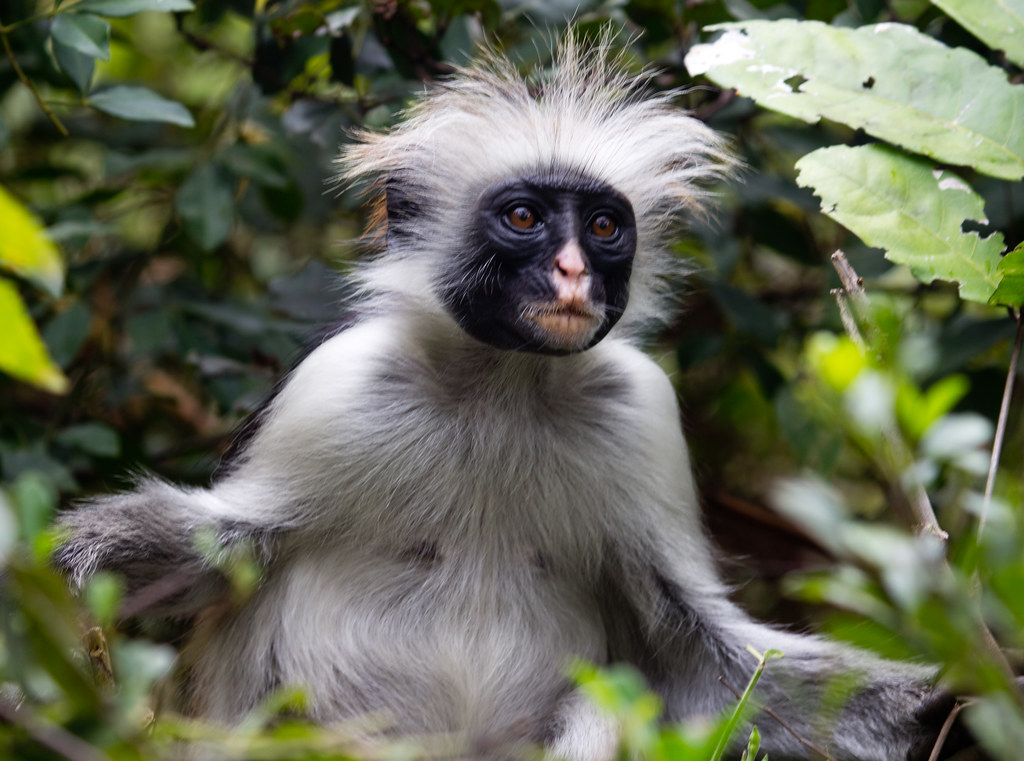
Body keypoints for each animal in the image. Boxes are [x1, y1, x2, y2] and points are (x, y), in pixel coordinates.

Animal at [55, 32, 951, 761]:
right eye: (523, 217)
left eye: (603, 228)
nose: (574, 273)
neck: (504, 387)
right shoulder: (340, 388)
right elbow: (211, 552)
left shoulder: (640, 413)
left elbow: (700, 654)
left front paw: (946, 710)